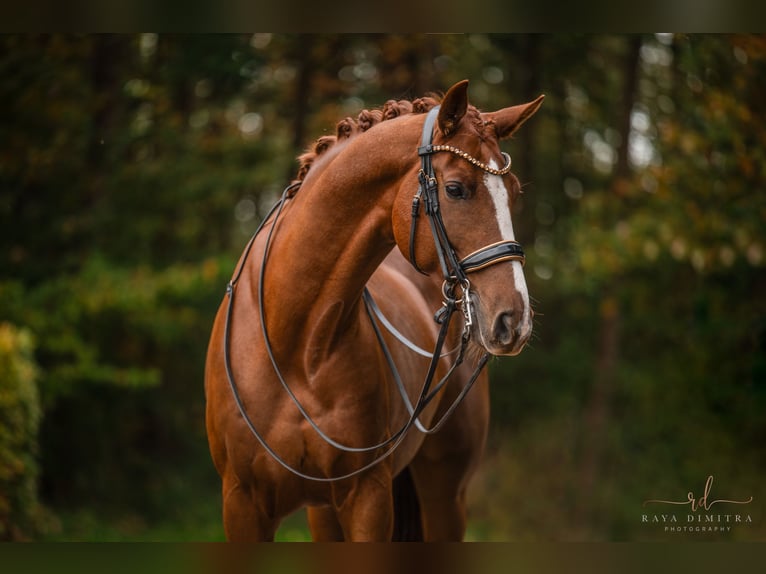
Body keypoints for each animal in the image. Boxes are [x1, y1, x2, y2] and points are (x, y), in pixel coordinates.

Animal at [206, 81, 544, 544]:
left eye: (512, 193)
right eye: (456, 189)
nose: (514, 319)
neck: (295, 344)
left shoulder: (367, 497)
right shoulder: (242, 502)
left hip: (445, 495)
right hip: (324, 513)